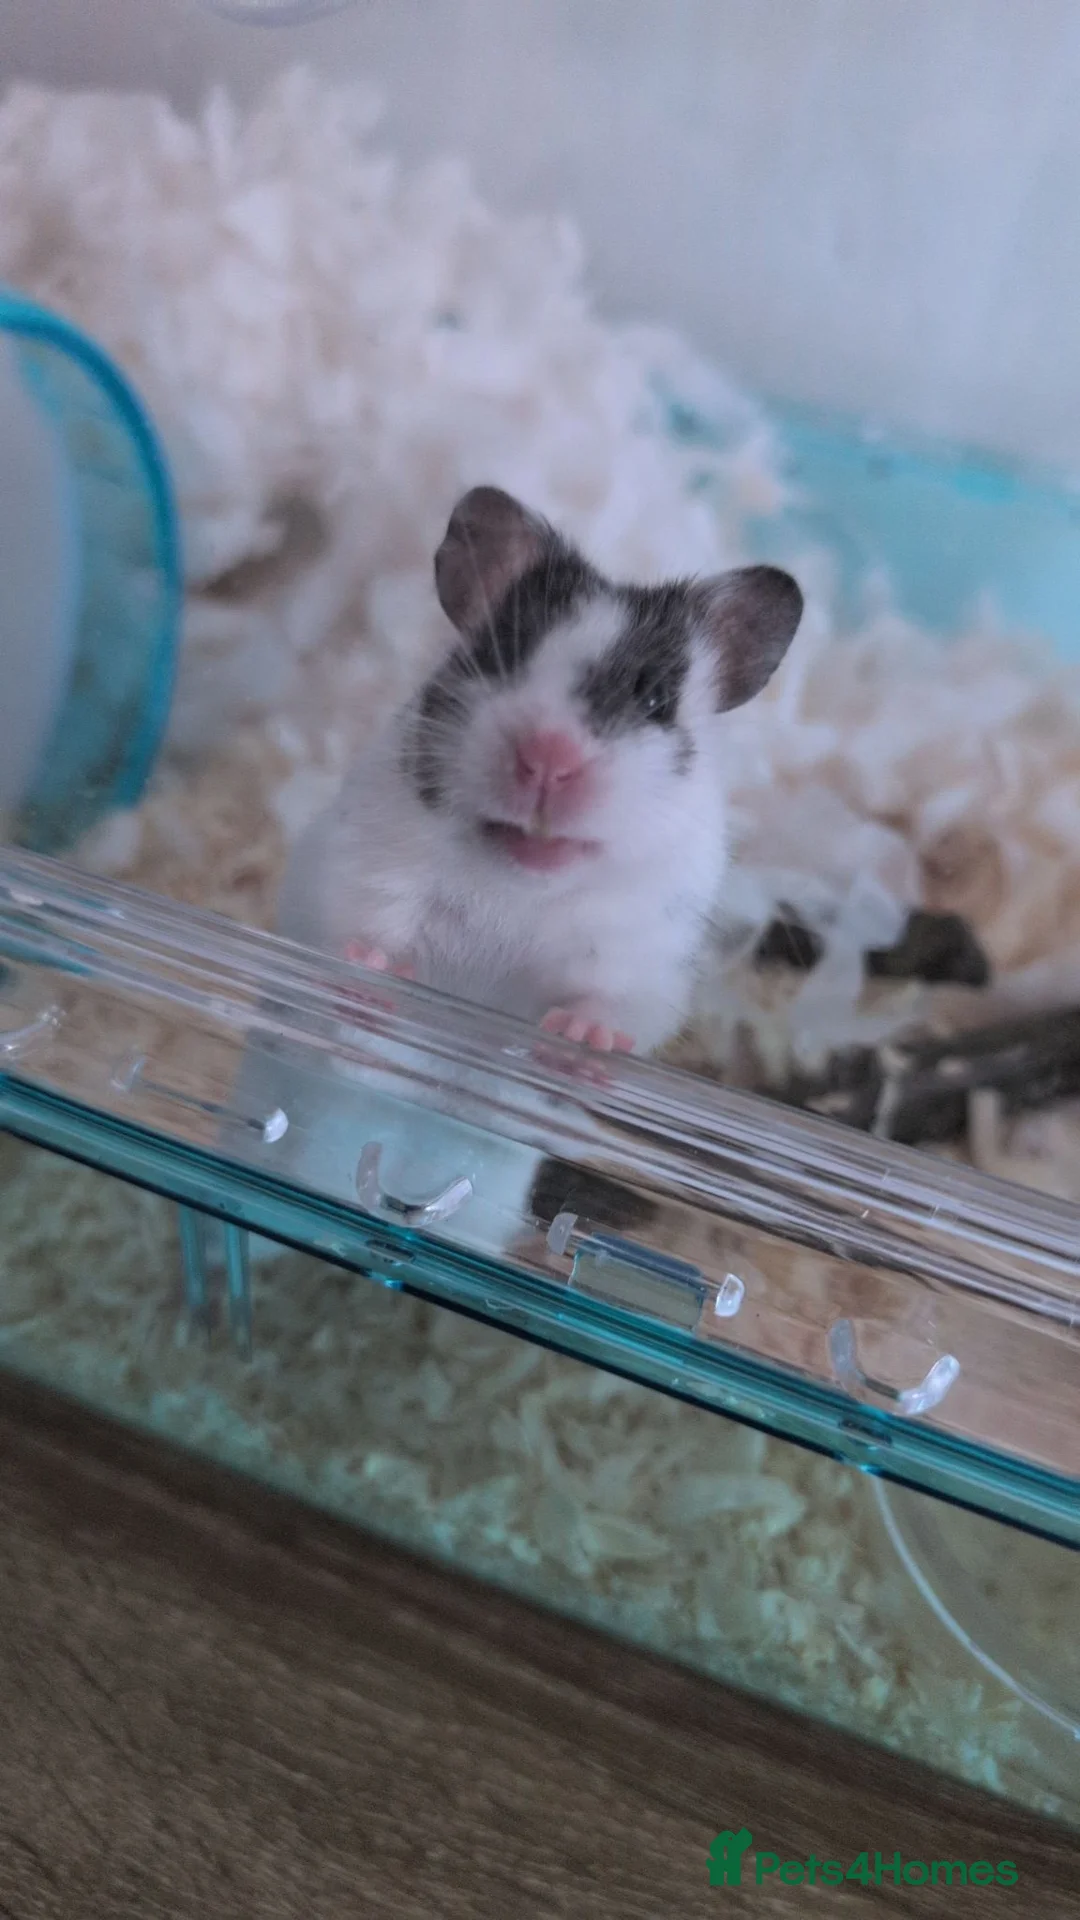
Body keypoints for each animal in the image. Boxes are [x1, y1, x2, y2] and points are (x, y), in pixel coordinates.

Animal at [278, 485, 803, 1055]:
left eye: (656, 699)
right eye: (496, 658)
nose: (549, 758)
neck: (518, 888)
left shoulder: (641, 959)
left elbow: (610, 1004)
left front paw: (583, 1039)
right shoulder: (364, 878)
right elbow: (365, 933)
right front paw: (373, 980)